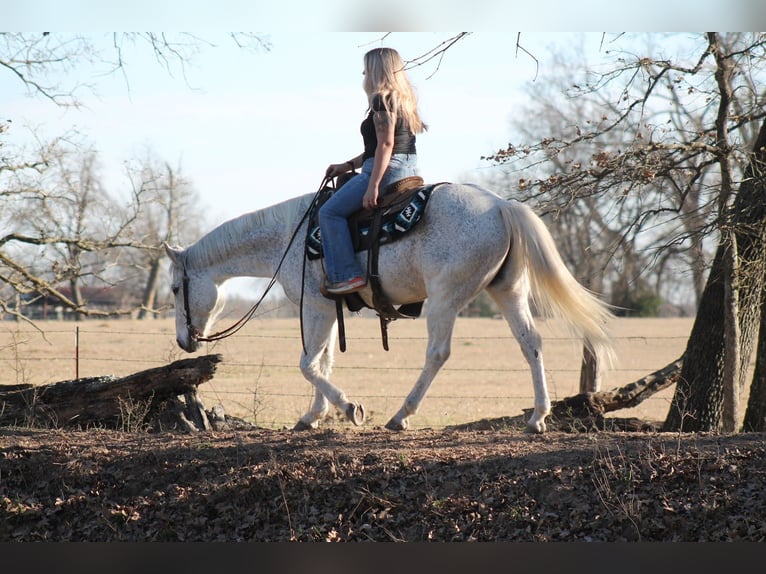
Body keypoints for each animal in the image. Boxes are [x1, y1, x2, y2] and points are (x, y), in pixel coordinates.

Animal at [164, 182, 615, 433]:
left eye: (173, 288)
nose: (185, 342)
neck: (288, 236)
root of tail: (500, 205)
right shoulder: (328, 310)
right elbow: (323, 362)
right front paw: (314, 417)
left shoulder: (315, 307)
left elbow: (308, 364)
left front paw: (349, 408)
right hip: (508, 291)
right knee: (530, 343)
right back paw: (537, 417)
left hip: (446, 298)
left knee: (437, 353)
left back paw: (401, 415)